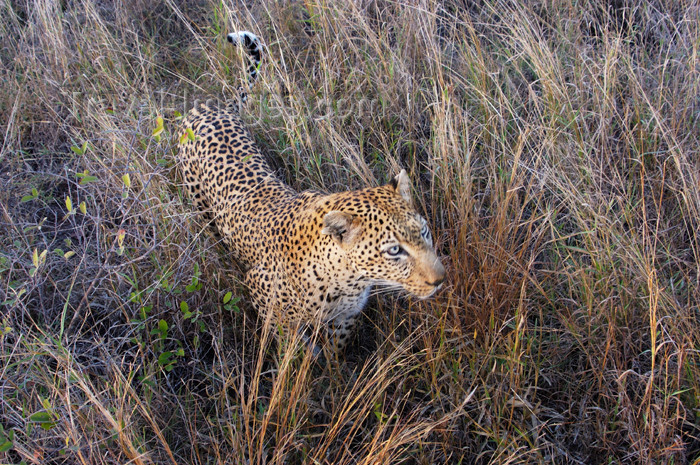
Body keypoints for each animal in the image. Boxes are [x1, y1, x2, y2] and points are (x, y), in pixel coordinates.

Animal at [178, 30, 446, 350]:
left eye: (425, 232)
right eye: (394, 251)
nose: (440, 280)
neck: (348, 280)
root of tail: (212, 106)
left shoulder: (346, 317)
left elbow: (336, 352)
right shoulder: (265, 301)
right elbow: (291, 350)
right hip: (199, 205)